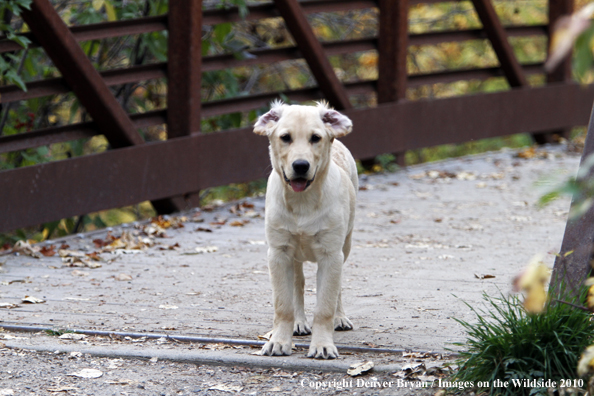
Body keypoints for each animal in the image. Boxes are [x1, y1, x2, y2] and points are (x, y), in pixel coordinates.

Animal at [251, 100, 354, 358]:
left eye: (315, 138)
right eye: (285, 137)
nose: (300, 165)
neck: (302, 202)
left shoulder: (330, 254)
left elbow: (325, 305)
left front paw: (323, 345)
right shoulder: (278, 253)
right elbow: (283, 304)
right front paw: (278, 341)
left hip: (345, 244)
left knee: (337, 288)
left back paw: (340, 318)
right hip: (294, 256)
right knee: (298, 284)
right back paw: (299, 322)